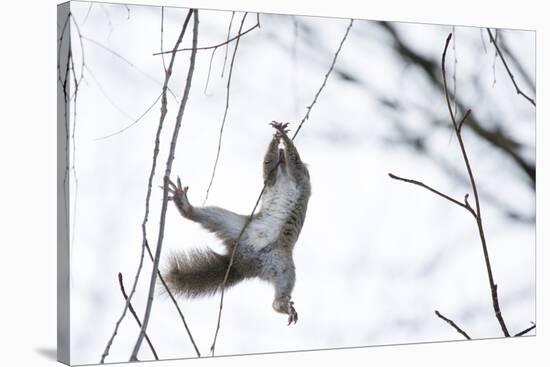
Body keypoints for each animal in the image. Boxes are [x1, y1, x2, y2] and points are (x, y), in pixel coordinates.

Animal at [164, 123, 310, 324]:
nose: (281, 152)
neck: (283, 174)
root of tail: (240, 262)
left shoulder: (300, 175)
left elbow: (295, 160)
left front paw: (284, 137)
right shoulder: (271, 179)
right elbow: (267, 164)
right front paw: (276, 138)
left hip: (283, 266)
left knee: (280, 292)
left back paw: (282, 305)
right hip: (230, 224)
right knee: (198, 215)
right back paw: (184, 205)